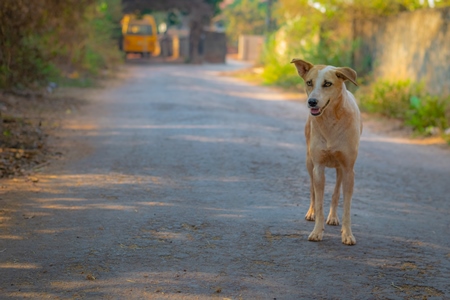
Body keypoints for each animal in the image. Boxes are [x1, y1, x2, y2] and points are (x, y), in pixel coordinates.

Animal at [292, 59, 362, 246]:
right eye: (309, 82)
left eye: (328, 84)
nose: (312, 102)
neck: (331, 119)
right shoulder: (318, 167)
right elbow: (319, 200)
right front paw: (317, 231)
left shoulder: (349, 170)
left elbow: (346, 206)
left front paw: (347, 234)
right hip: (309, 162)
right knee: (312, 190)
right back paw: (311, 213)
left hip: (340, 168)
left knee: (336, 192)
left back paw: (333, 217)